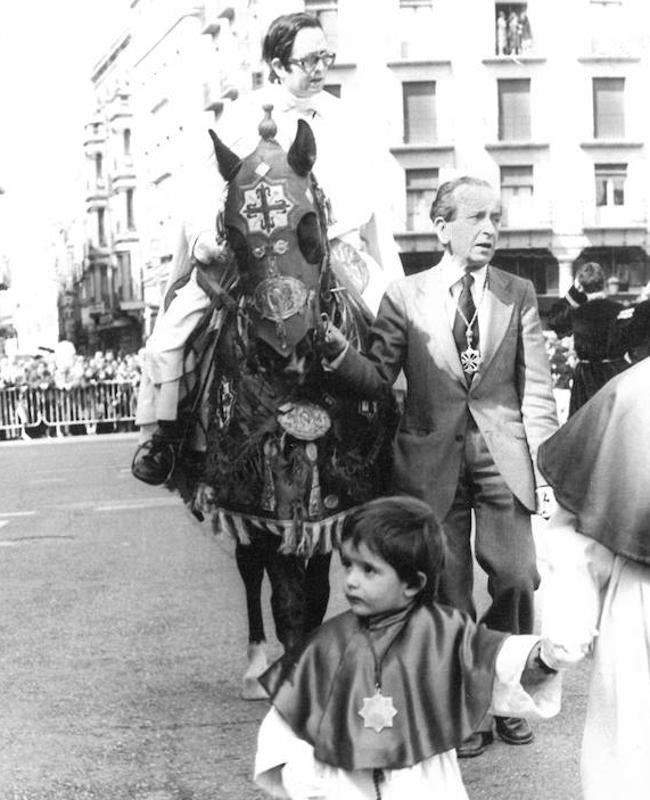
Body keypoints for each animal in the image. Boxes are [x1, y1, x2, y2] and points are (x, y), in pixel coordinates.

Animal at [167, 104, 394, 692]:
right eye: (233, 235)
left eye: (309, 225)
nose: (282, 350)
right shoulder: (262, 494)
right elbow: (288, 600)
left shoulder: (327, 501)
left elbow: (313, 595)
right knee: (251, 573)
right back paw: (254, 665)